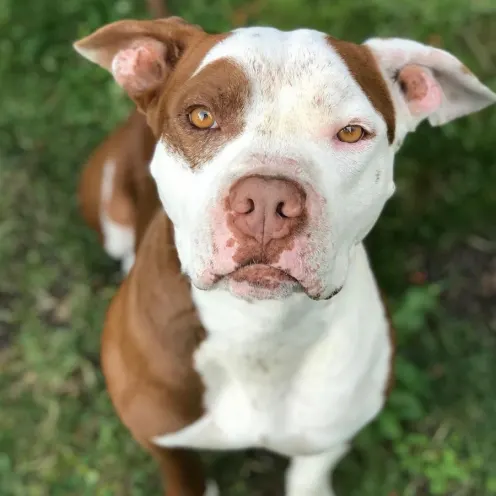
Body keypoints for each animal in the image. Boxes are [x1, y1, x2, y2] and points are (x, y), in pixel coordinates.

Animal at [73, 15, 496, 496]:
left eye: (351, 132)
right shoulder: (163, 440)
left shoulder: (329, 436)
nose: (266, 199)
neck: (259, 329)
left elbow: (308, 475)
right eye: (201, 116)